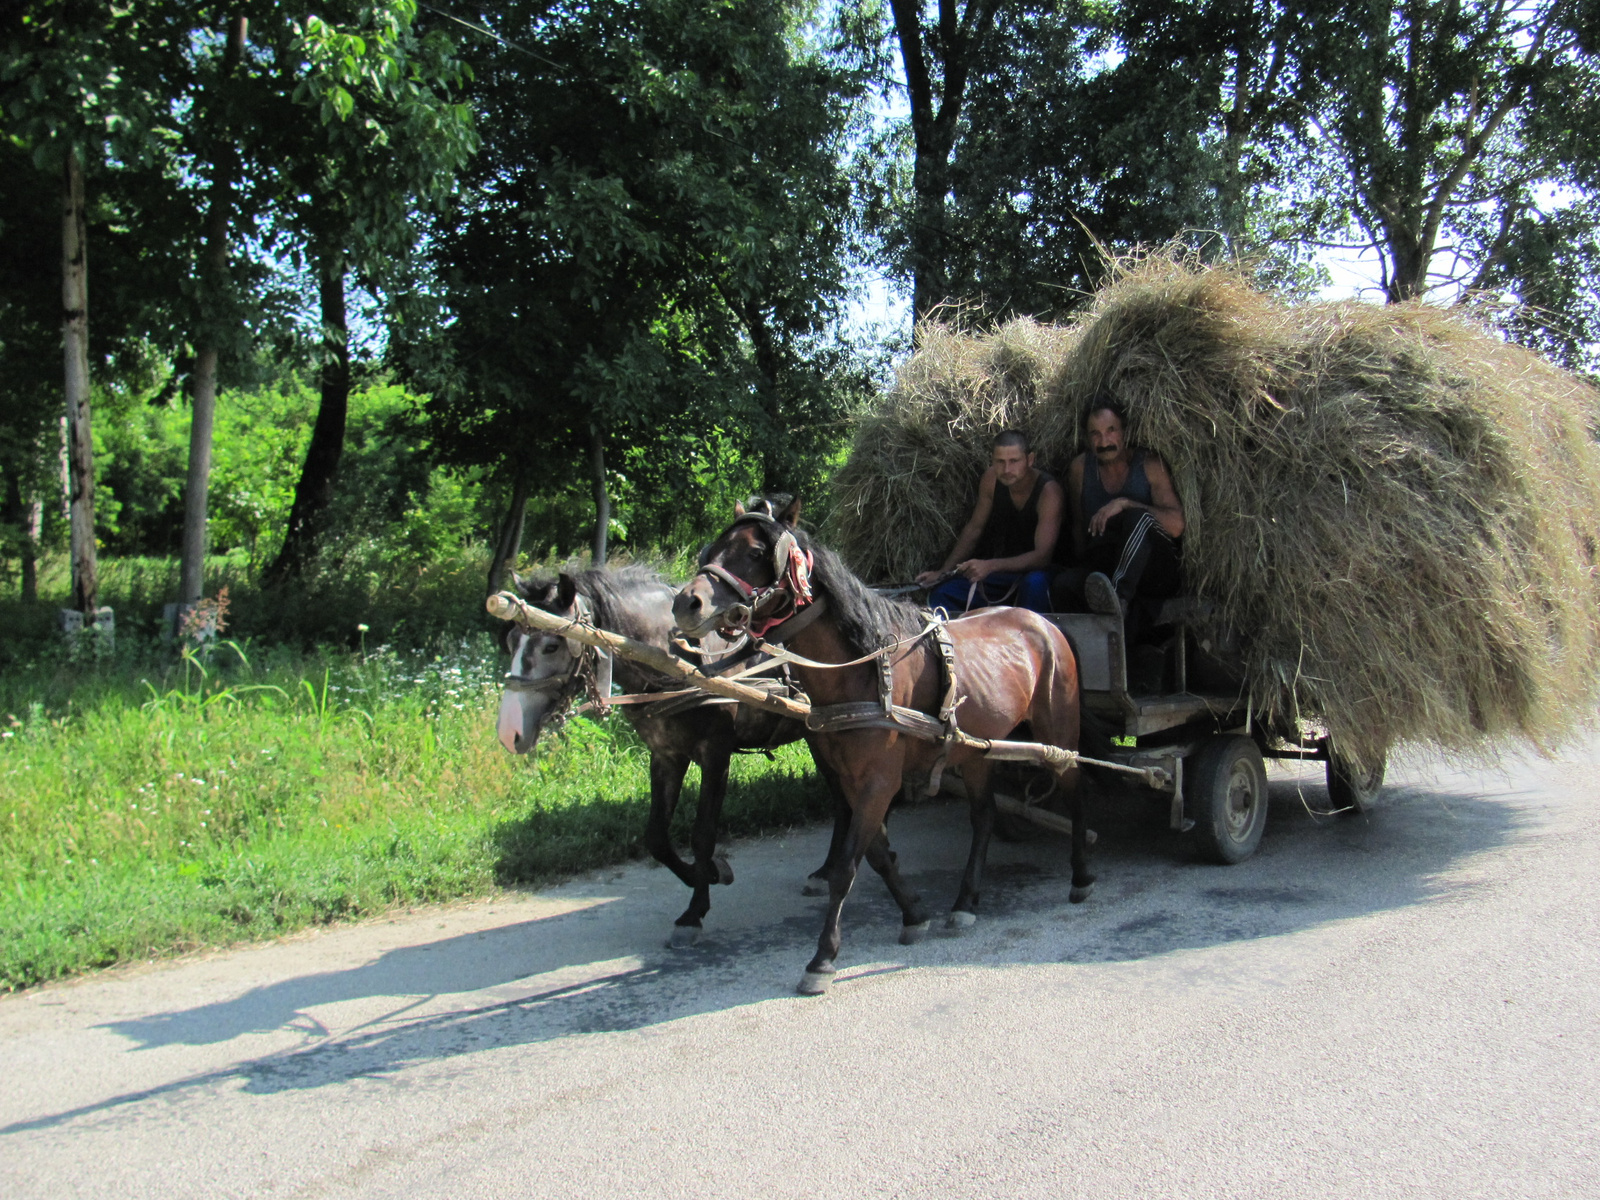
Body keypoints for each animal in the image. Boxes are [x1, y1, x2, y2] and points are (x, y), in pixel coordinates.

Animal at [492, 569, 934, 953]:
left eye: (552, 645)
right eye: (511, 640)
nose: (509, 733)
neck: (680, 661)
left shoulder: (715, 754)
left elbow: (703, 835)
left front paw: (696, 907)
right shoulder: (666, 755)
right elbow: (656, 837)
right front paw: (708, 875)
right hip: (821, 736)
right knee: (844, 801)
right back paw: (828, 869)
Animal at [675, 499, 1088, 998]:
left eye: (756, 553)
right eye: (714, 547)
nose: (686, 602)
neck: (863, 667)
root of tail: (1045, 622)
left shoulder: (878, 781)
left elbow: (847, 866)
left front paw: (823, 958)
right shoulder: (857, 782)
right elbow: (876, 855)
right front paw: (914, 914)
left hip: (1059, 734)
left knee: (1076, 790)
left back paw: (1081, 877)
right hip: (976, 751)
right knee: (984, 816)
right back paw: (965, 901)